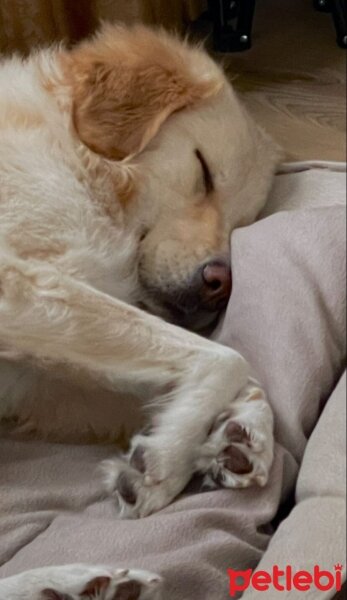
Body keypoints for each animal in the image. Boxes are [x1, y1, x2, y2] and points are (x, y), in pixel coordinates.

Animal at [0, 24, 280, 600]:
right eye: (203, 172)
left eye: (243, 222)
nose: (222, 285)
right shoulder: (21, 286)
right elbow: (226, 358)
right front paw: (166, 463)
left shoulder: (33, 379)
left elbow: (234, 375)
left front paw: (241, 434)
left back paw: (76, 584)